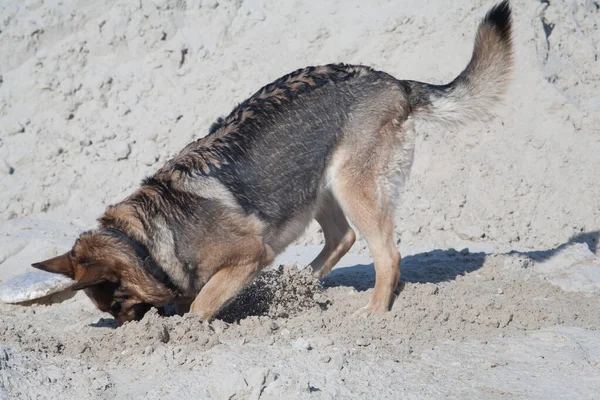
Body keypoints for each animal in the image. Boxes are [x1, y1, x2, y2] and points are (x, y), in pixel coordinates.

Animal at [32, 1, 510, 326]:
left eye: (119, 304)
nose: (131, 332)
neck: (144, 242)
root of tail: (395, 82)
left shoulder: (247, 256)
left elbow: (201, 303)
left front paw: (188, 331)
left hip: (352, 189)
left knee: (387, 255)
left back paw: (372, 314)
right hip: (318, 186)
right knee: (342, 239)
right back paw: (296, 284)